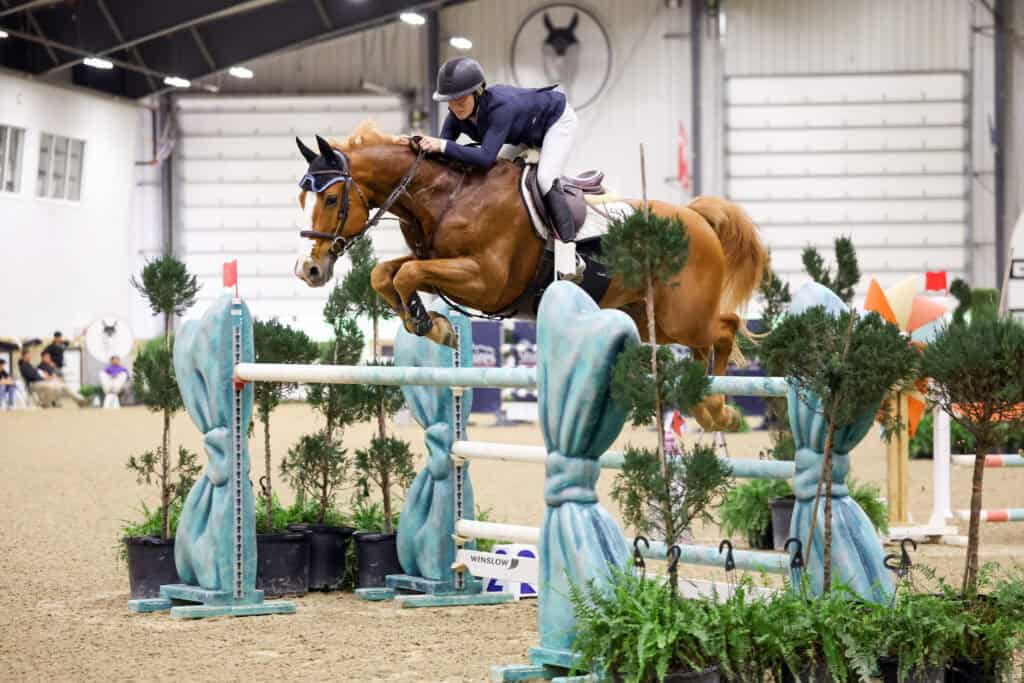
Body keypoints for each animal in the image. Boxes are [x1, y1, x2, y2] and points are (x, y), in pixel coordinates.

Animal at [294, 122, 768, 431]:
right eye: (304, 200)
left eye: (331, 198)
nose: (310, 270)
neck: (449, 196)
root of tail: (696, 217)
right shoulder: (440, 263)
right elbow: (387, 275)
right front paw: (432, 325)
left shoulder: (485, 281)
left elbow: (407, 273)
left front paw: (435, 326)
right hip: (651, 318)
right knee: (710, 340)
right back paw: (709, 407)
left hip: (681, 317)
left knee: (725, 329)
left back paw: (717, 407)